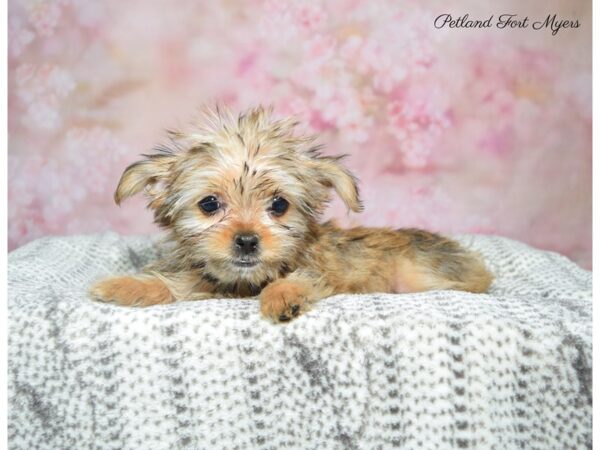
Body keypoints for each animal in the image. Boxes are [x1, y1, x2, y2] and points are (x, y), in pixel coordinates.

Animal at [89, 105, 492, 322]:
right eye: (209, 204)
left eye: (279, 205)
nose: (247, 241)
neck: (247, 283)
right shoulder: (208, 281)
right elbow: (174, 284)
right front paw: (126, 286)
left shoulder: (321, 271)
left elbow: (300, 279)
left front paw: (282, 297)